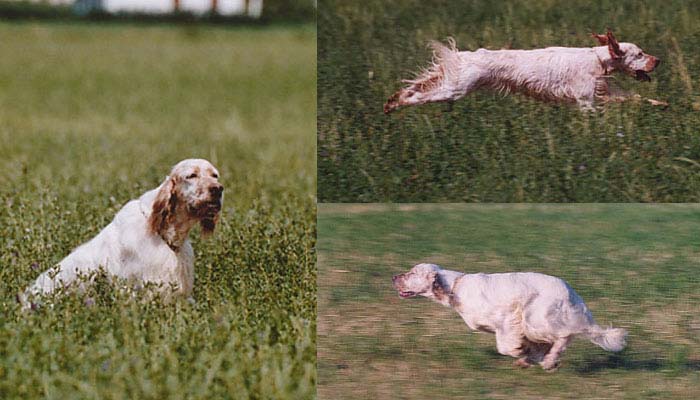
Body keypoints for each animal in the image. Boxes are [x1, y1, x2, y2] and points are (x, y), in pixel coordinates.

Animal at [386, 29, 664, 112]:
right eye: (640, 54)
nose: (658, 60)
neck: (598, 59)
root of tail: (464, 55)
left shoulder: (607, 91)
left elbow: (638, 98)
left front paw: (661, 104)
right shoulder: (586, 100)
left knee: (417, 87)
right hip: (455, 88)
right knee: (418, 94)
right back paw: (394, 104)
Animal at [392, 264, 628, 370]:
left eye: (412, 273)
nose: (394, 277)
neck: (455, 287)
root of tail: (570, 290)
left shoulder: (506, 320)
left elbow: (506, 346)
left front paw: (522, 353)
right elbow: (531, 347)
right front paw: (528, 357)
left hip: (536, 317)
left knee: (564, 336)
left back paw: (549, 361)